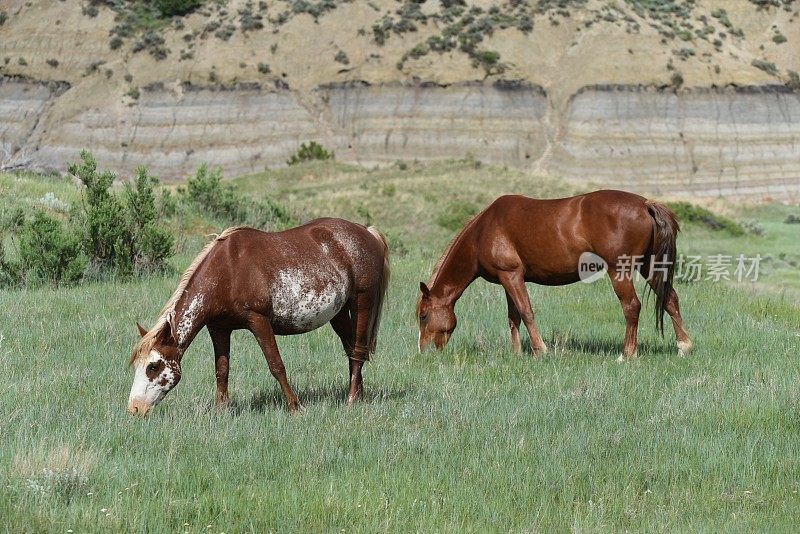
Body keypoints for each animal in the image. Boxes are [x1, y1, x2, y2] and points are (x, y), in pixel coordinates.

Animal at [127, 220, 390, 416]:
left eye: (153, 366)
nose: (134, 409)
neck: (227, 271)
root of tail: (367, 232)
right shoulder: (218, 329)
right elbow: (222, 370)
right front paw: (221, 410)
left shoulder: (259, 322)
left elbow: (276, 366)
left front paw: (295, 407)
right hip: (338, 313)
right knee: (352, 350)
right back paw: (359, 394)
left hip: (362, 303)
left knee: (358, 351)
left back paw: (351, 399)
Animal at [418, 191, 692, 362]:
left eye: (423, 316)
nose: (424, 351)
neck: (483, 231)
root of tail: (645, 204)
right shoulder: (508, 280)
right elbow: (513, 317)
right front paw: (517, 353)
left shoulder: (512, 276)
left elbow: (526, 312)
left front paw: (540, 350)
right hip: (650, 267)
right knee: (670, 300)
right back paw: (683, 346)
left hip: (620, 271)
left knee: (632, 307)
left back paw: (627, 354)